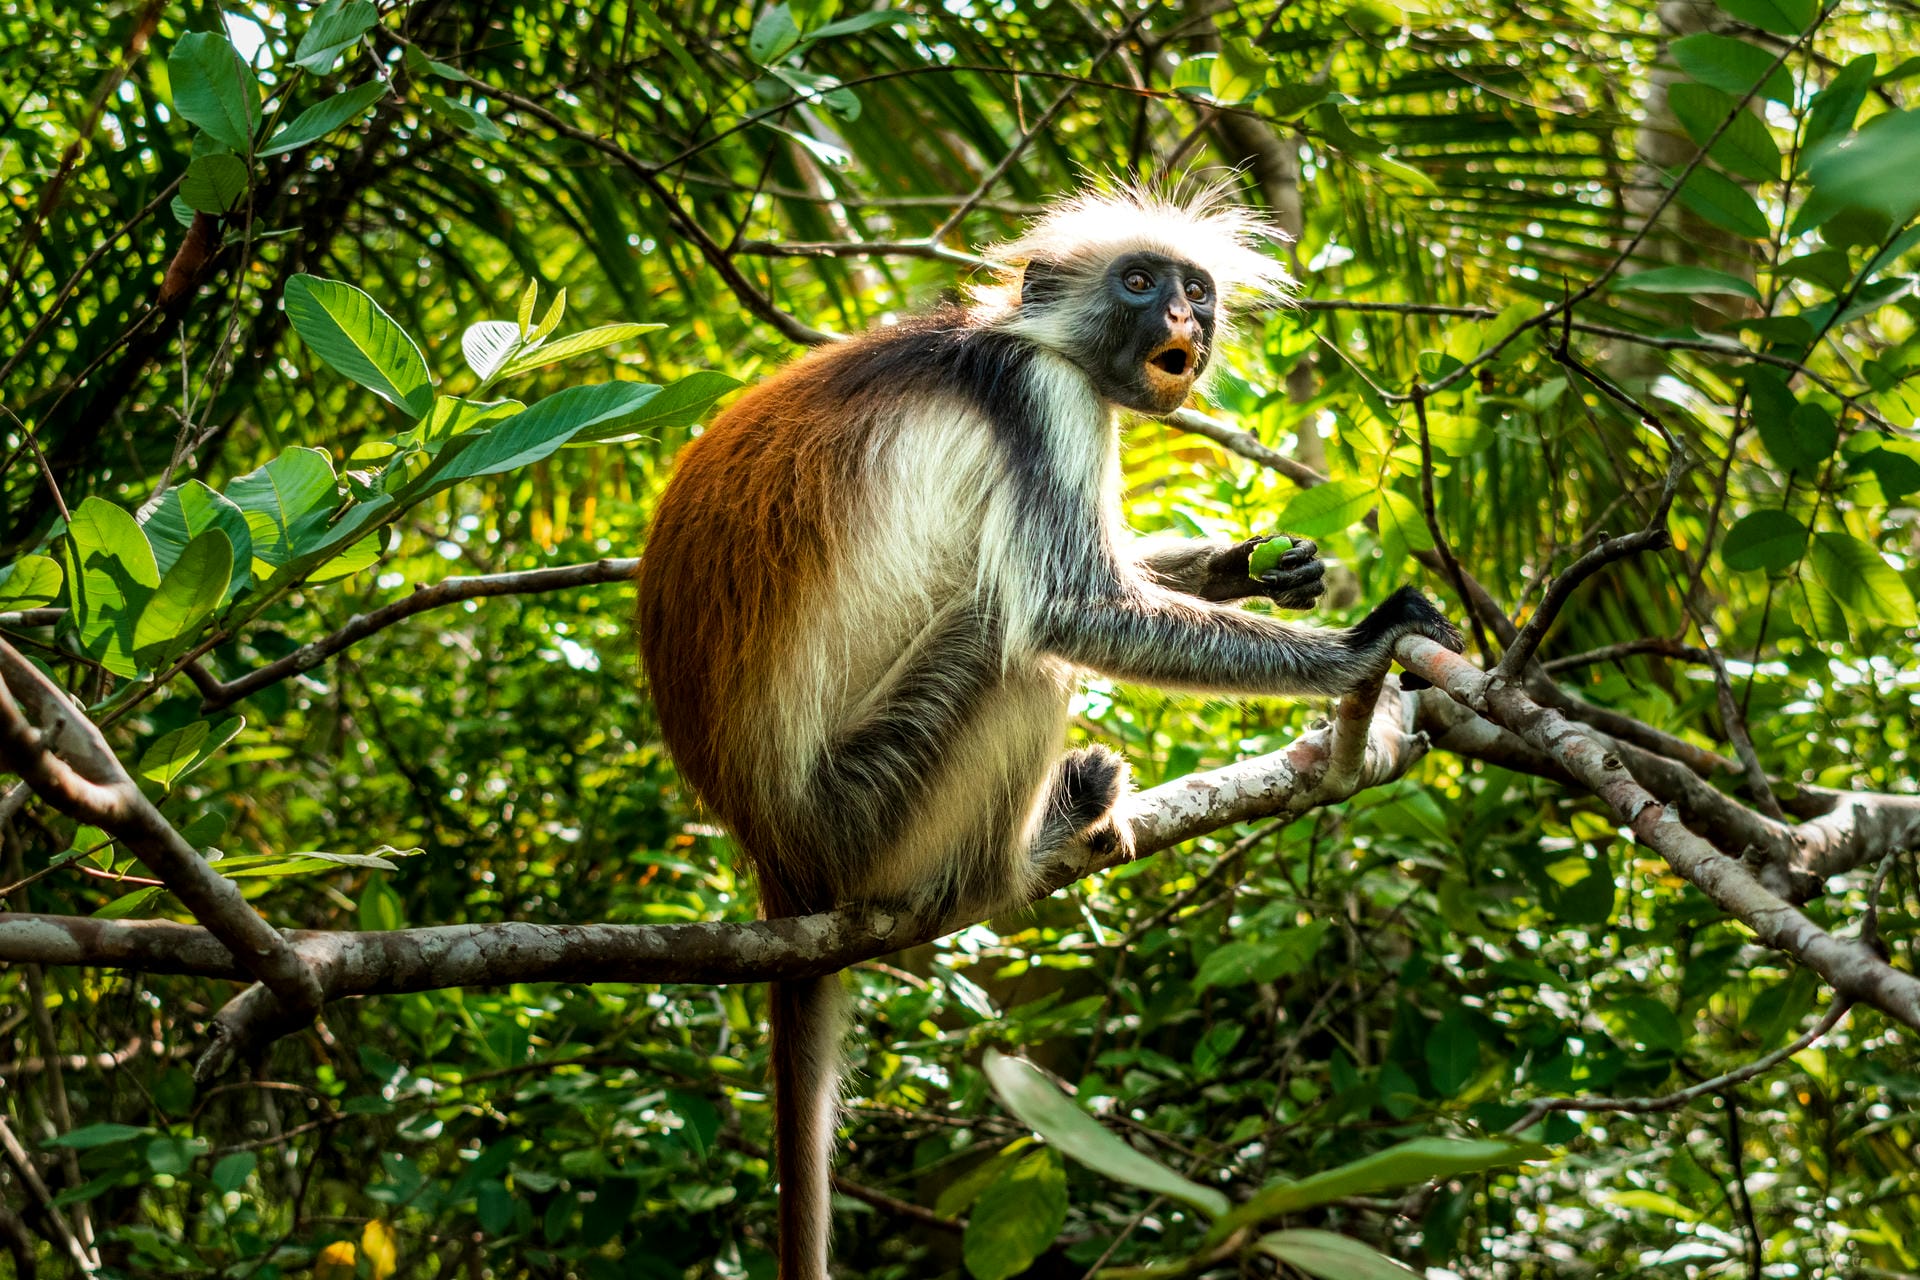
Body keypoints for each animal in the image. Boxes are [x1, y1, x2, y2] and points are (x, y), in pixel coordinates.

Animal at [634, 183, 1463, 1278]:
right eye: (1141, 282)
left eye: (1196, 289)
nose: (1184, 318)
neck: (1014, 337)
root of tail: (773, 847)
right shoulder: (1042, 402)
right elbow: (1070, 608)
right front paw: (1360, 648)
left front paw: (1253, 564)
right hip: (868, 807)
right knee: (1011, 640)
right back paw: (1024, 851)